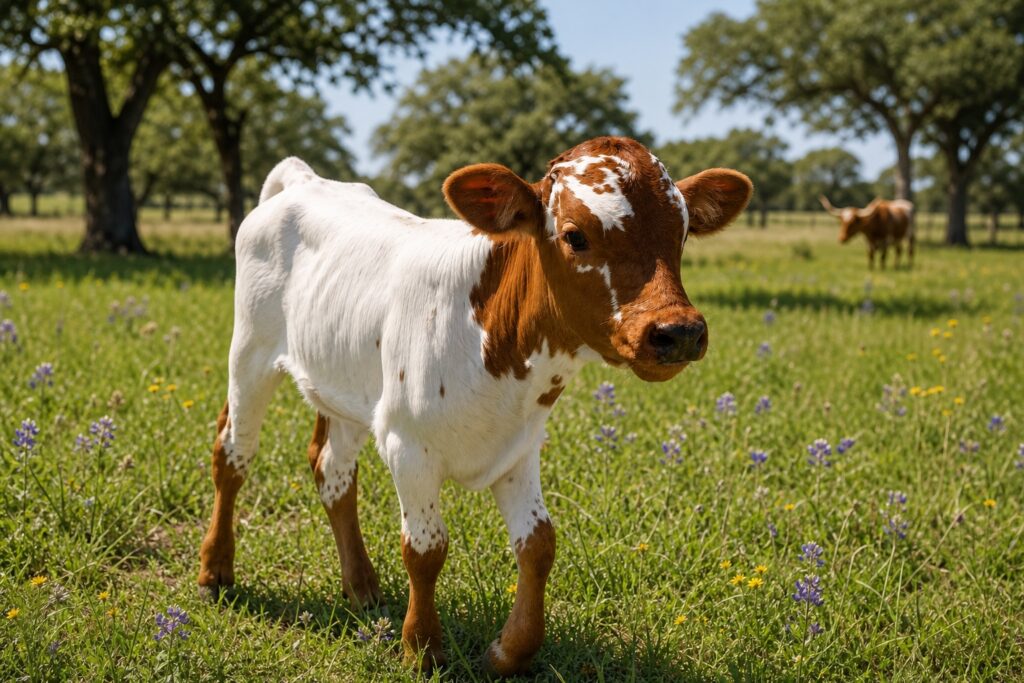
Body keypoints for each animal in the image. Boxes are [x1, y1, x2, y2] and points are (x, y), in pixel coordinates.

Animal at [197, 136, 752, 676]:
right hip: (250, 355)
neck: (493, 340)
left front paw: (509, 650)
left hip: (345, 387)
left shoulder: (520, 447)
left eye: (682, 234)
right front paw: (422, 648)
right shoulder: (406, 446)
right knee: (233, 453)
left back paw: (361, 587)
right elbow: (425, 548)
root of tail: (305, 180)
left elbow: (539, 545)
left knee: (331, 469)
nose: (678, 331)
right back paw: (216, 570)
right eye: (576, 236)